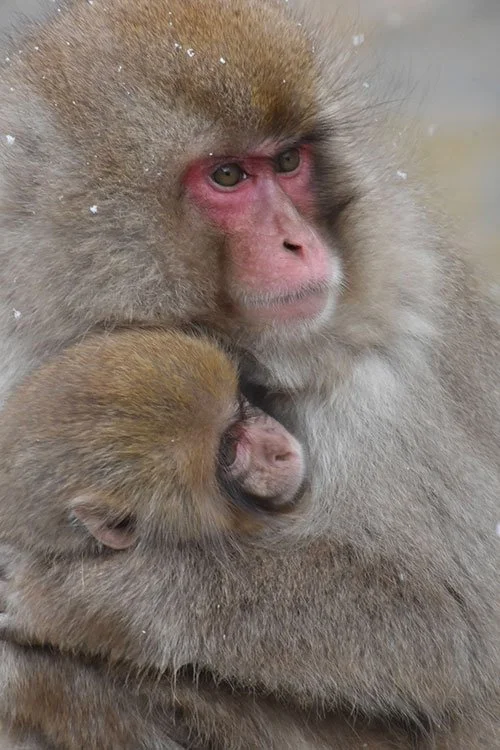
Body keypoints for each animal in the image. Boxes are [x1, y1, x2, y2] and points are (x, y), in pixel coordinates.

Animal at [0, 0, 498, 747]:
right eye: (229, 176)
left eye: (288, 162)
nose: (299, 243)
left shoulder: (386, 373)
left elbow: (451, 627)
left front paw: (70, 600)